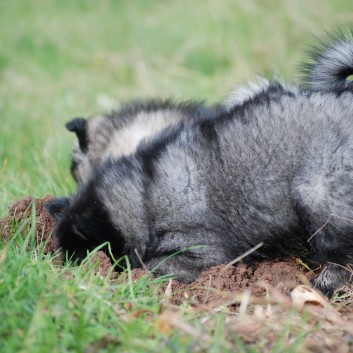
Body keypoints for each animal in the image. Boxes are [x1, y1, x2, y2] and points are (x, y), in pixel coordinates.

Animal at [47, 28, 353, 296]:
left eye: (81, 256)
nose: (65, 276)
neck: (143, 197)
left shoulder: (205, 251)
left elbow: (154, 263)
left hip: (319, 194)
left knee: (339, 253)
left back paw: (322, 285)